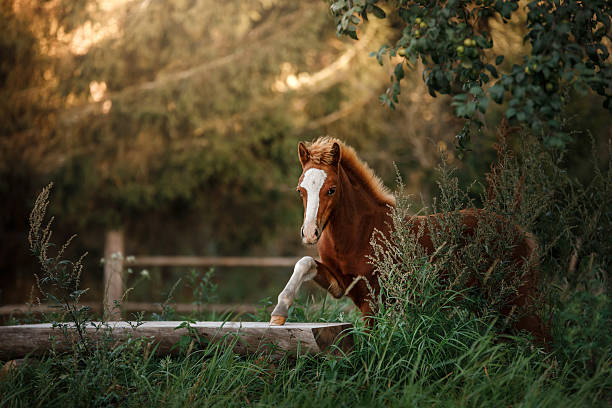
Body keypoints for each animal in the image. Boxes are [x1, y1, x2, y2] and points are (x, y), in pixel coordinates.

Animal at [270, 138, 548, 348]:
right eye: (300, 190)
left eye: (331, 189)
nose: (310, 233)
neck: (360, 232)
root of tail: (524, 235)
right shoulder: (341, 284)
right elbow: (305, 262)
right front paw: (278, 314)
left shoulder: (374, 300)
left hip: (517, 302)